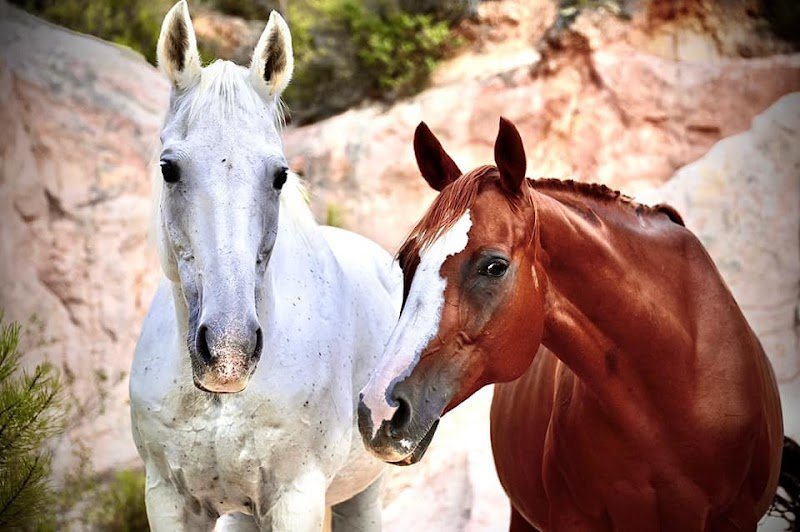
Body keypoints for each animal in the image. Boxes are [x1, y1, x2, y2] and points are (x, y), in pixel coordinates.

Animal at [129, 2, 400, 530]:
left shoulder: (297, 498)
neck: (221, 401)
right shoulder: (168, 499)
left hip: (364, 490)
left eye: (280, 174)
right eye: (168, 167)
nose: (228, 352)